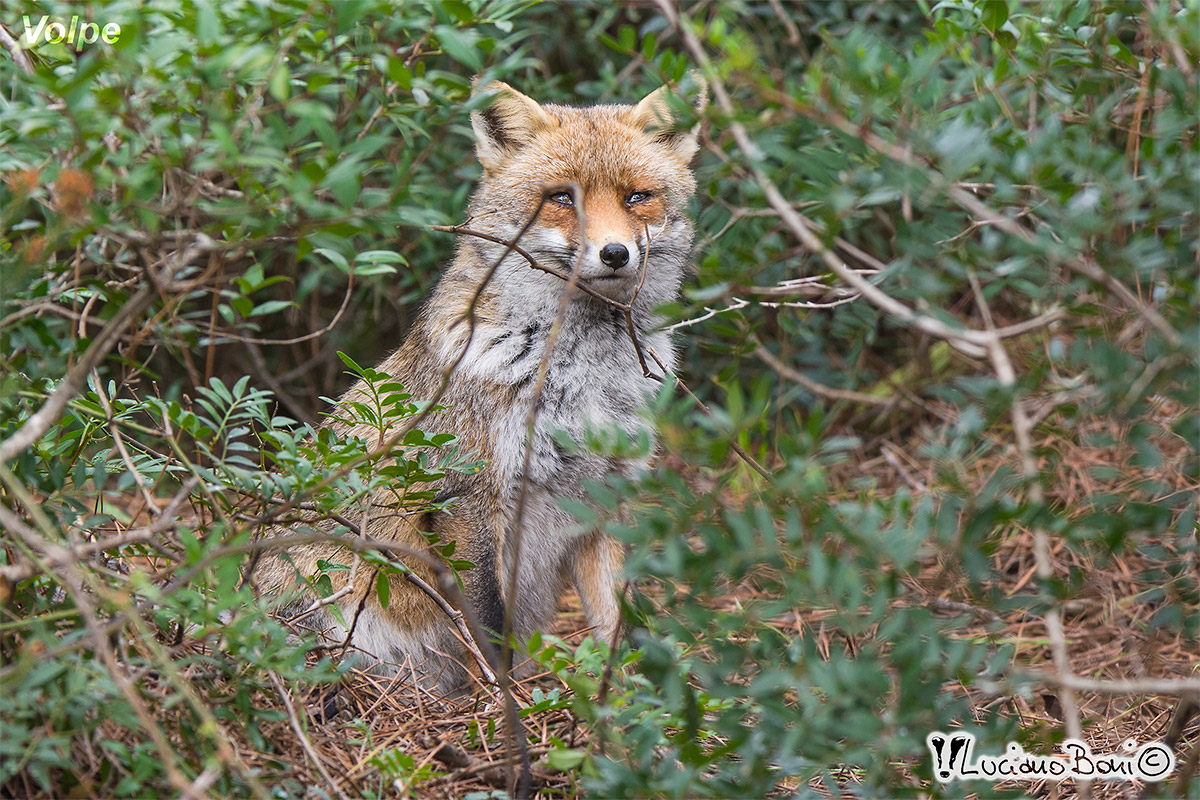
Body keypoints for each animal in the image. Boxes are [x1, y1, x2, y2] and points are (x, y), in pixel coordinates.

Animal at [256, 74, 707, 693]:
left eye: (637, 197)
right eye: (562, 198)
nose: (616, 253)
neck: (582, 378)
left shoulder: (607, 494)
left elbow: (617, 622)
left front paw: (629, 701)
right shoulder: (469, 493)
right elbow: (489, 625)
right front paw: (503, 704)